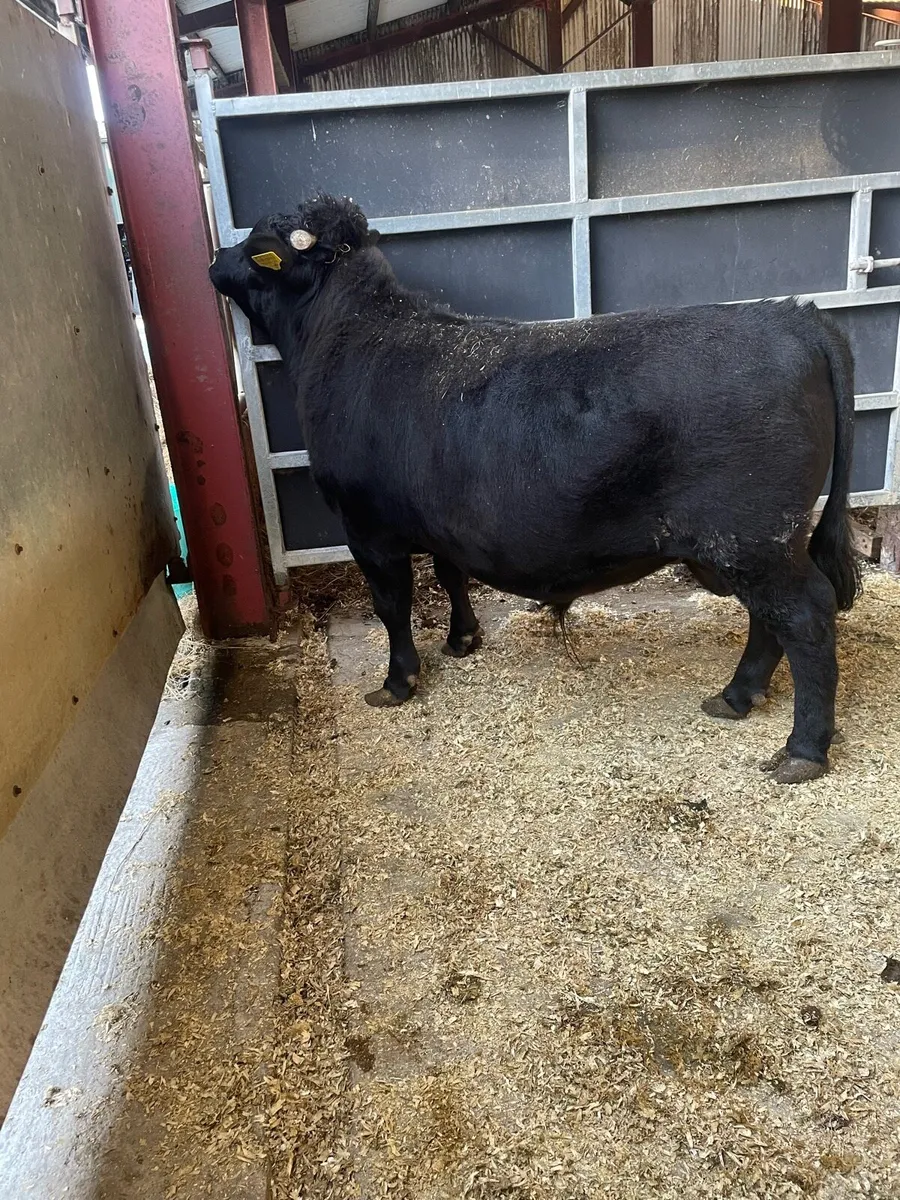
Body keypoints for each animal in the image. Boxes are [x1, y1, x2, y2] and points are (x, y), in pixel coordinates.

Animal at [210, 193, 861, 785]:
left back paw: (802, 749)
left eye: (257, 241)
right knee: (770, 621)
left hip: (755, 540)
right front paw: (462, 639)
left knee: (805, 615)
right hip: (757, 545)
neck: (348, 337)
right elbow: (450, 575)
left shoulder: (367, 528)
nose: (216, 258)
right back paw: (736, 697)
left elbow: (391, 605)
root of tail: (791, 315)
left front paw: (397, 682)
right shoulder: (443, 523)